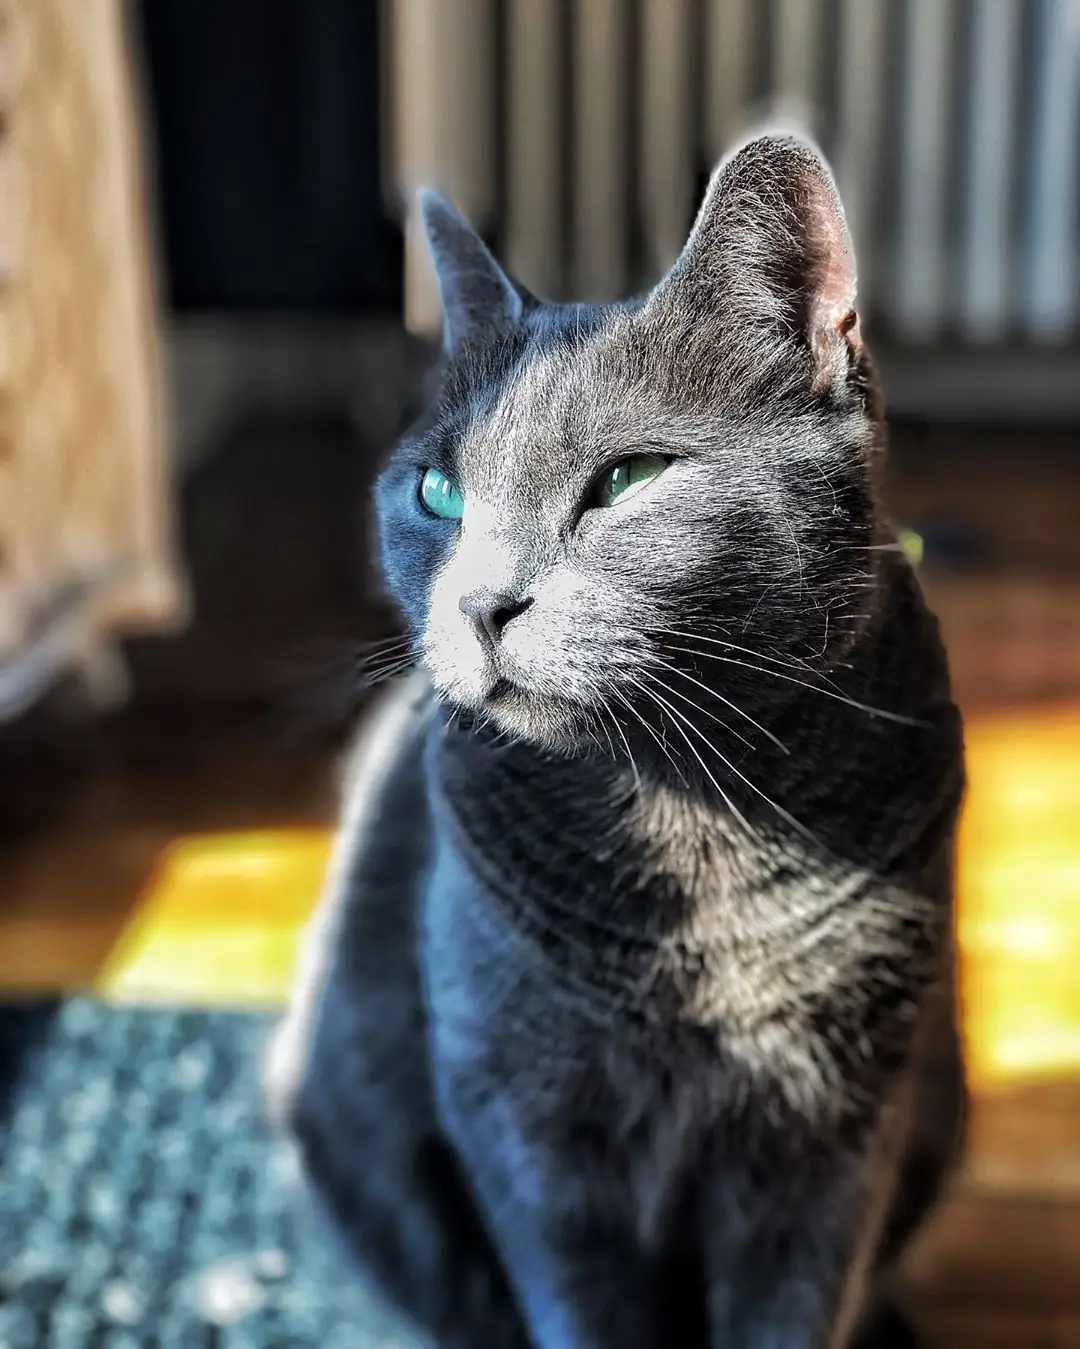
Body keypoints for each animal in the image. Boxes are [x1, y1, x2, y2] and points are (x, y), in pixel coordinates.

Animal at [266, 130, 966, 1349]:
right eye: (437, 491)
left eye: (628, 479)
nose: (481, 604)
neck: (688, 819)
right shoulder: (528, 1133)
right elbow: (579, 1299)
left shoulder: (842, 1134)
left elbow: (803, 1301)